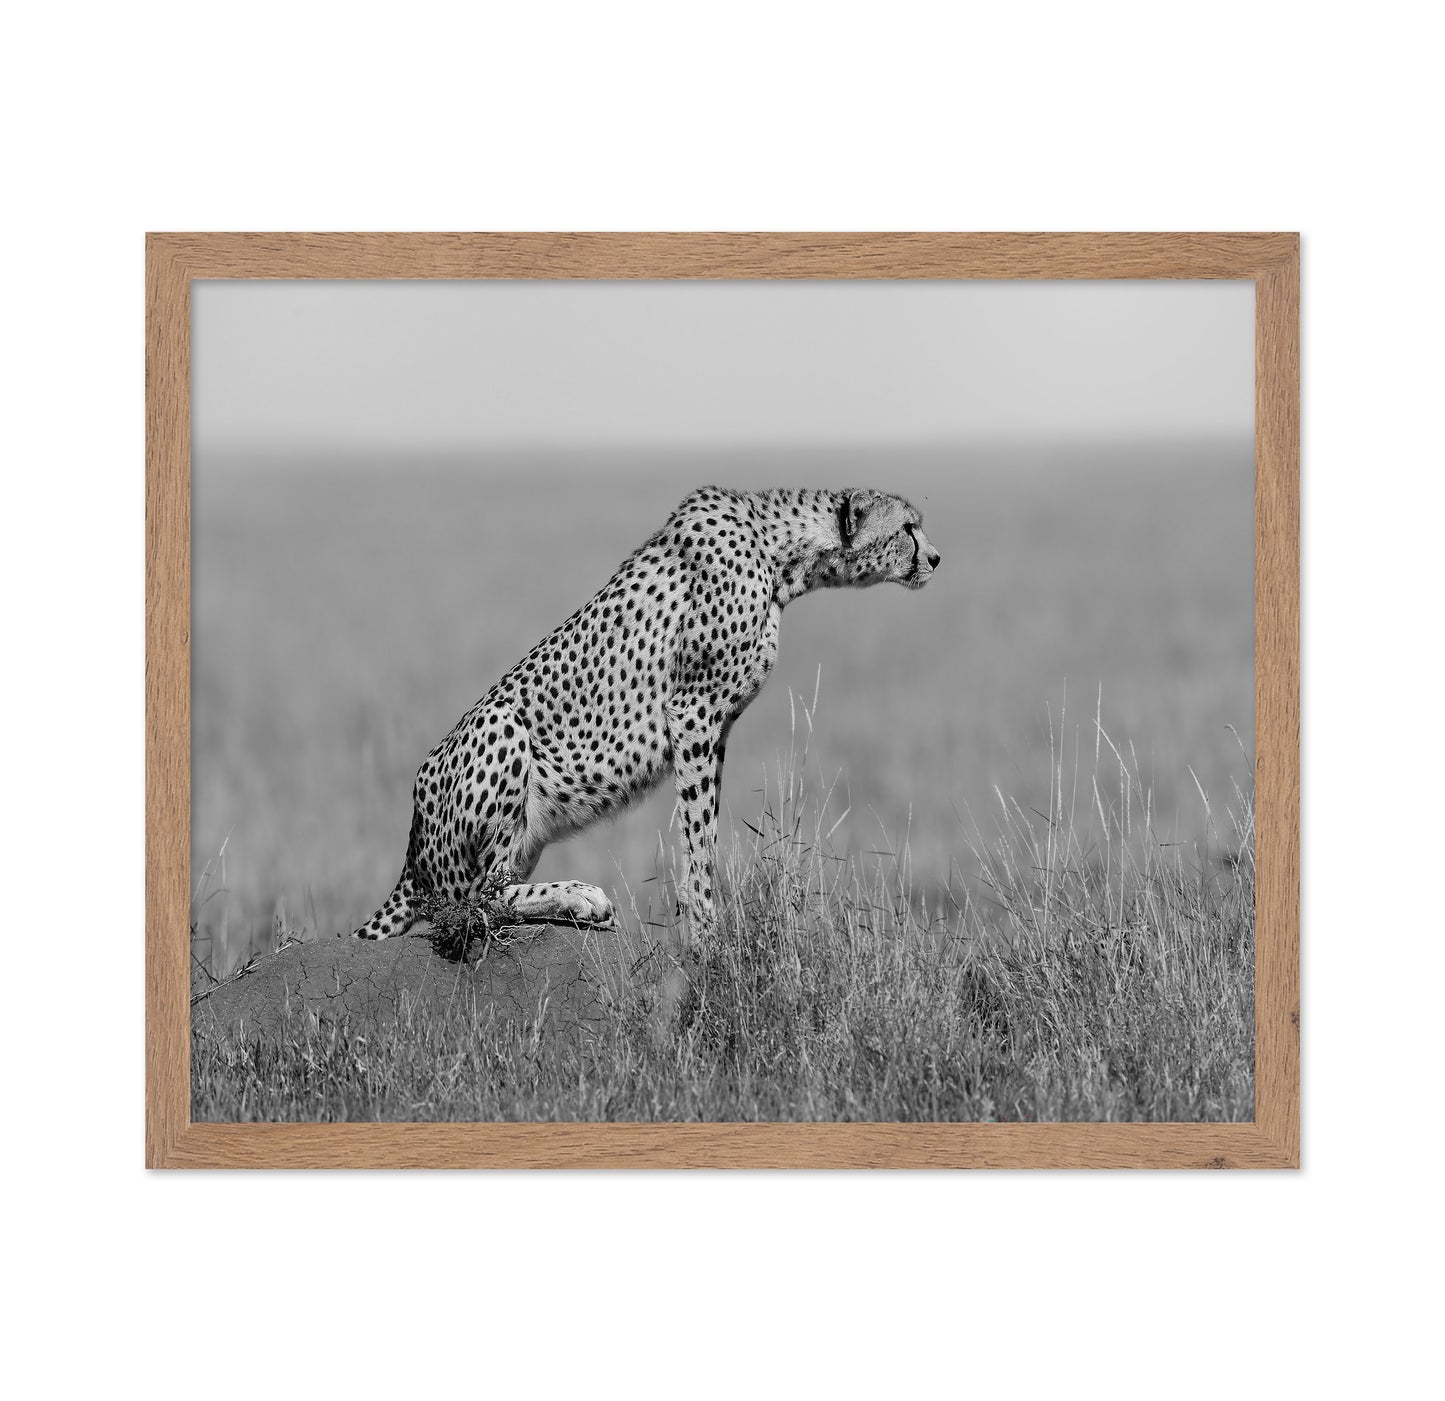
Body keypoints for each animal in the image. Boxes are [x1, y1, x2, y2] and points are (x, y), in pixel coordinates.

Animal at [352, 485, 940, 944]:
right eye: (908, 528)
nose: (936, 558)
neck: (780, 553)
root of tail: (411, 848)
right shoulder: (694, 711)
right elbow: (698, 832)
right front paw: (705, 930)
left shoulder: (716, 726)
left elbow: (705, 826)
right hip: (502, 726)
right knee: (471, 902)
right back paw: (582, 896)